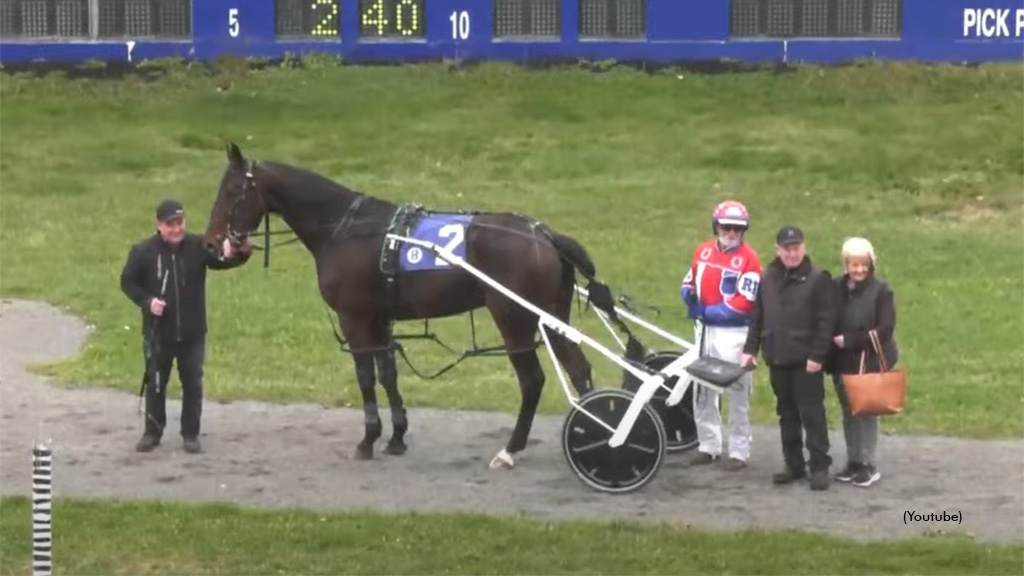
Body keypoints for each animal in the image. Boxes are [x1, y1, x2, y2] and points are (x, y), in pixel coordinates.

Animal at [203, 142, 626, 467]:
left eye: (232, 190)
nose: (211, 243)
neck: (344, 229)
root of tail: (544, 234)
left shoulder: (355, 319)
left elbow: (366, 377)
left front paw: (368, 440)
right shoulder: (380, 319)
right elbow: (388, 374)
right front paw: (396, 437)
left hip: (515, 318)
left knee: (533, 380)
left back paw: (511, 449)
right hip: (550, 316)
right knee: (578, 369)